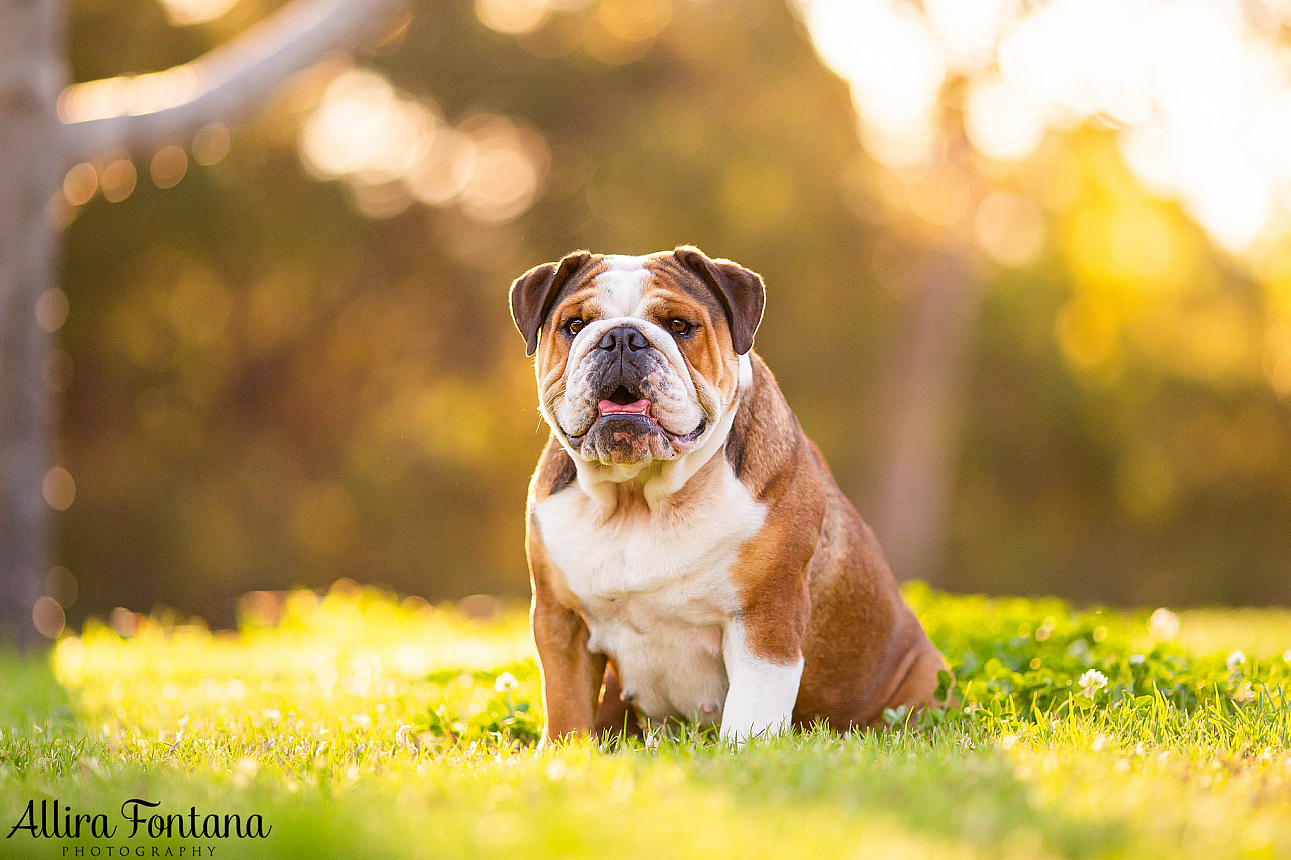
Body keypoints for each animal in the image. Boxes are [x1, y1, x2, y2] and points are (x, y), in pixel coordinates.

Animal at [508, 244, 945, 738]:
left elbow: (751, 712)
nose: (621, 338)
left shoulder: (764, 618)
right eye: (575, 325)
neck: (640, 497)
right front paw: (566, 751)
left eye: (680, 325)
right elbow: (567, 707)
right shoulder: (560, 620)